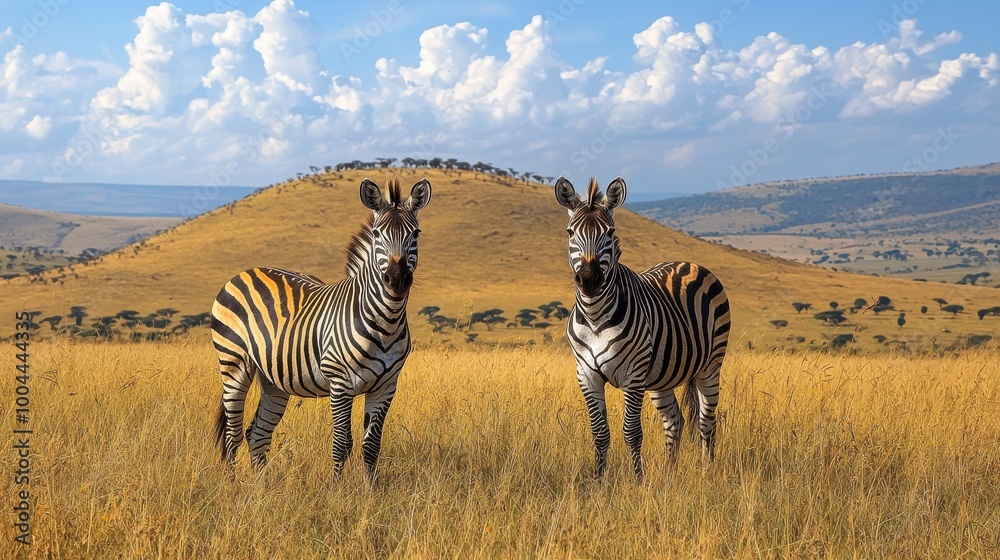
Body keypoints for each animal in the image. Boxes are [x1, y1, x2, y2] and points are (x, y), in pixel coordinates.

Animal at [211, 177, 431, 481]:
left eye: (416, 233)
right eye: (377, 234)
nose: (396, 279)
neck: (386, 322)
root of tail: (246, 271)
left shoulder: (386, 386)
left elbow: (371, 445)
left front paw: (372, 490)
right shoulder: (340, 383)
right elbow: (342, 442)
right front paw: (337, 488)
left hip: (273, 378)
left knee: (257, 433)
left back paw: (262, 486)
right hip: (233, 362)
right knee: (232, 434)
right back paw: (233, 485)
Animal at [554, 176, 731, 481]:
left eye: (610, 232)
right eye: (570, 232)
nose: (589, 280)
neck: (595, 316)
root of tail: (688, 263)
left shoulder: (633, 375)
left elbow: (632, 432)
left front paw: (638, 480)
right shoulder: (586, 375)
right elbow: (599, 432)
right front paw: (599, 480)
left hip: (711, 365)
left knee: (707, 421)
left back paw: (707, 472)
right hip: (662, 375)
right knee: (674, 420)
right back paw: (670, 474)